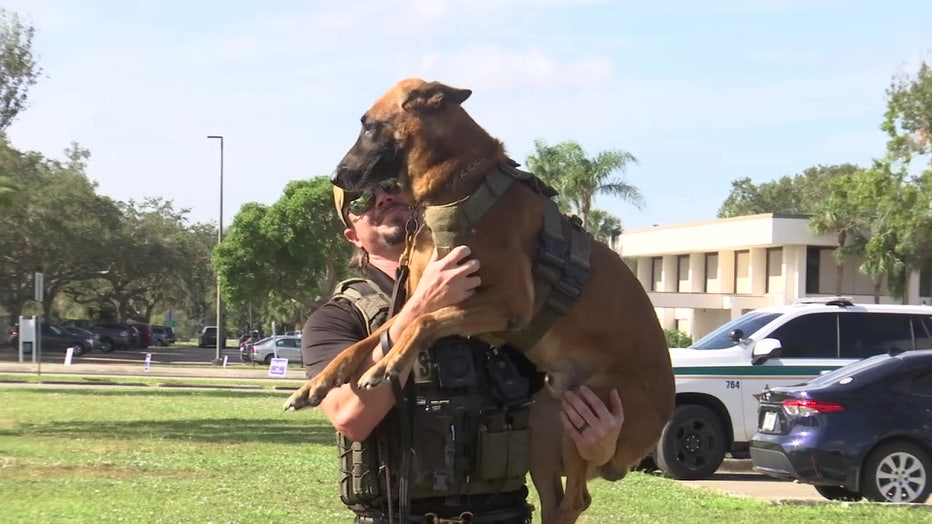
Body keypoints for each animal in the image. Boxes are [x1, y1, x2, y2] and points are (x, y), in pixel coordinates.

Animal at [284, 79, 676, 524]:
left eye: (368, 126)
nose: (335, 176)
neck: (460, 187)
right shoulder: (427, 301)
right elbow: (370, 338)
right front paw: (317, 383)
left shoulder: (508, 306)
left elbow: (423, 323)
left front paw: (389, 363)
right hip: (545, 422)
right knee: (558, 499)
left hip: (589, 410)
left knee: (578, 499)